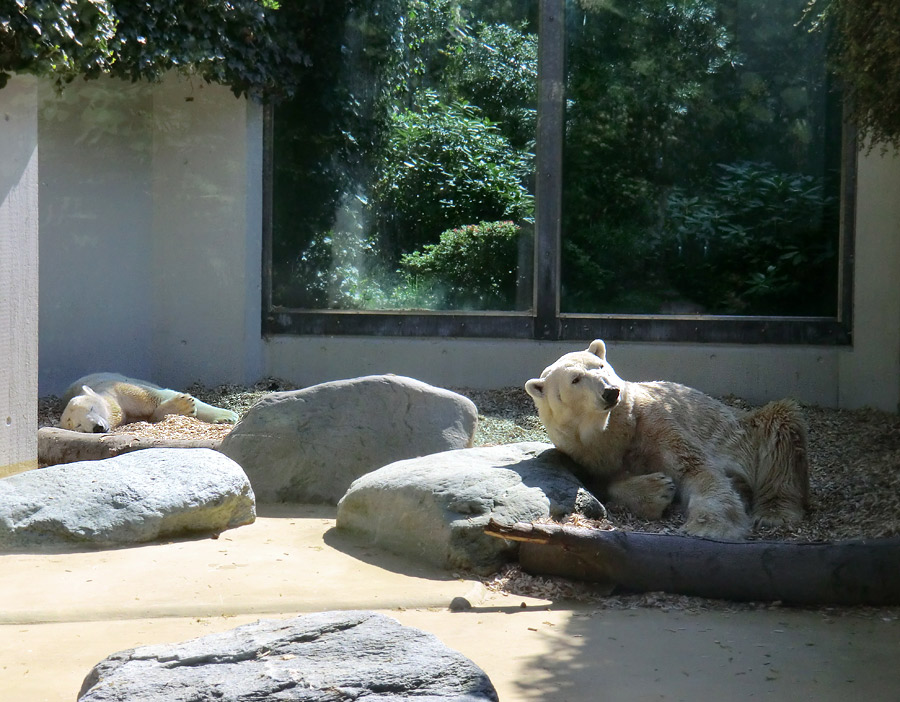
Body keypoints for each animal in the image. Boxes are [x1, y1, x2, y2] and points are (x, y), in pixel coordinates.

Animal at [61, 374, 241, 434]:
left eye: (91, 408)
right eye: (78, 425)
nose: (97, 427)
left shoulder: (120, 389)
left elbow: (158, 397)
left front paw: (227, 416)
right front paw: (183, 406)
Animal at [524, 344, 812, 540]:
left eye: (600, 366)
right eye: (575, 379)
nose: (610, 391)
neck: (614, 431)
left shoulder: (654, 420)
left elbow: (695, 467)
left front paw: (706, 527)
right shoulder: (583, 453)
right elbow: (599, 483)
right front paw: (656, 489)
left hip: (748, 429)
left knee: (782, 432)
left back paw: (774, 512)